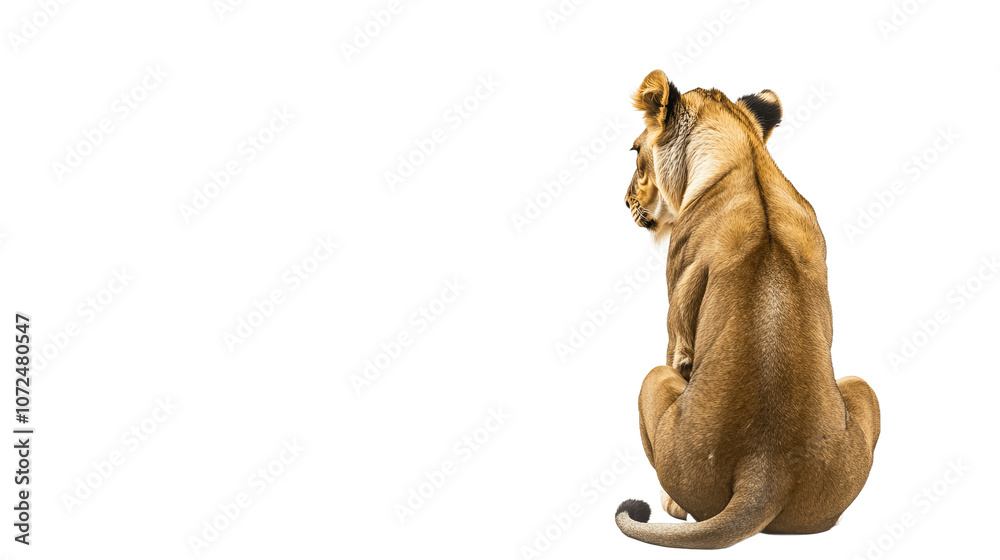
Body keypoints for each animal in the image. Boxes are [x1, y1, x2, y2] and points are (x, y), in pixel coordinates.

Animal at [615, 70, 881, 549]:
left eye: (635, 153)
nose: (624, 200)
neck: (745, 154)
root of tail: (765, 471)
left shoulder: (677, 331)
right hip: (860, 389)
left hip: (653, 380)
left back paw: (670, 505)